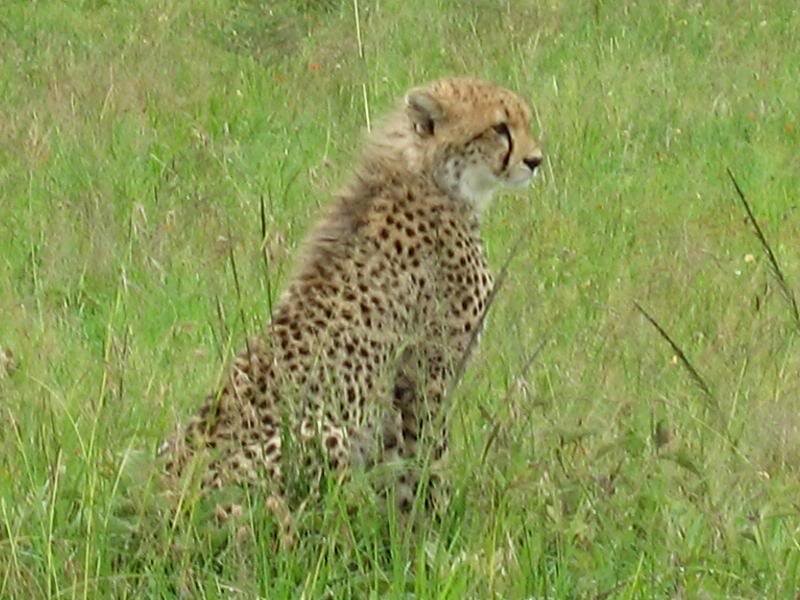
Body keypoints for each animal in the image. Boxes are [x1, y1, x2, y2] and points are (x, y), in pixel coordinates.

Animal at [159, 77, 544, 538]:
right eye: (499, 128)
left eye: (523, 121)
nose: (536, 161)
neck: (428, 173)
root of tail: (162, 504)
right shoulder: (425, 375)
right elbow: (426, 459)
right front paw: (435, 529)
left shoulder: (395, 392)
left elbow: (397, 471)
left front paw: (404, 532)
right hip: (322, 435)